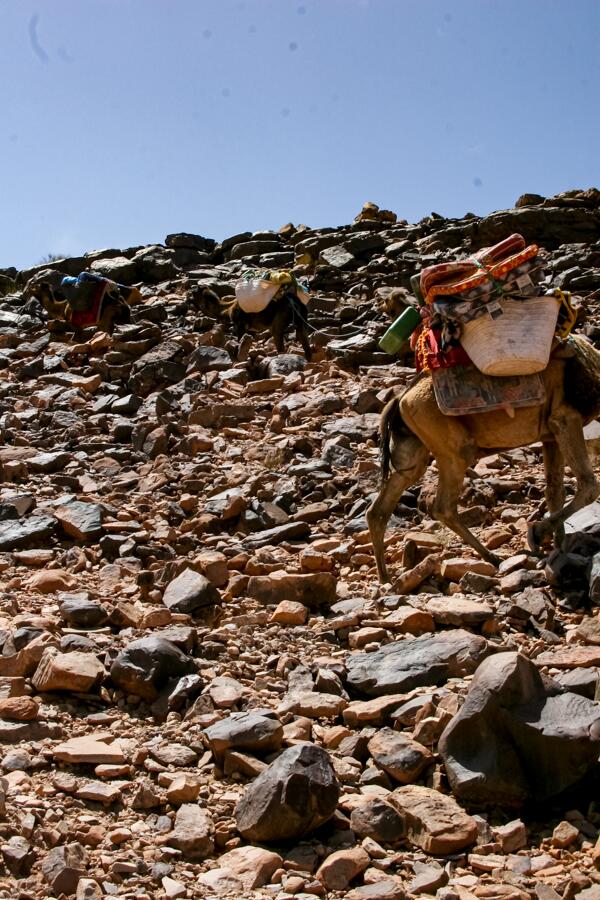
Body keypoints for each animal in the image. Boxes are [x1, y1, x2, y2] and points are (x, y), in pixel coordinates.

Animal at [367, 335, 600, 584]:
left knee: (382, 506)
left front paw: (559, 549)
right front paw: (536, 534)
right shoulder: (565, 419)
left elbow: (555, 490)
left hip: (412, 448)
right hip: (454, 447)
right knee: (443, 506)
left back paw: (385, 577)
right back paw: (492, 558)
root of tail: (400, 398)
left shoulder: (550, 435)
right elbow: (589, 486)